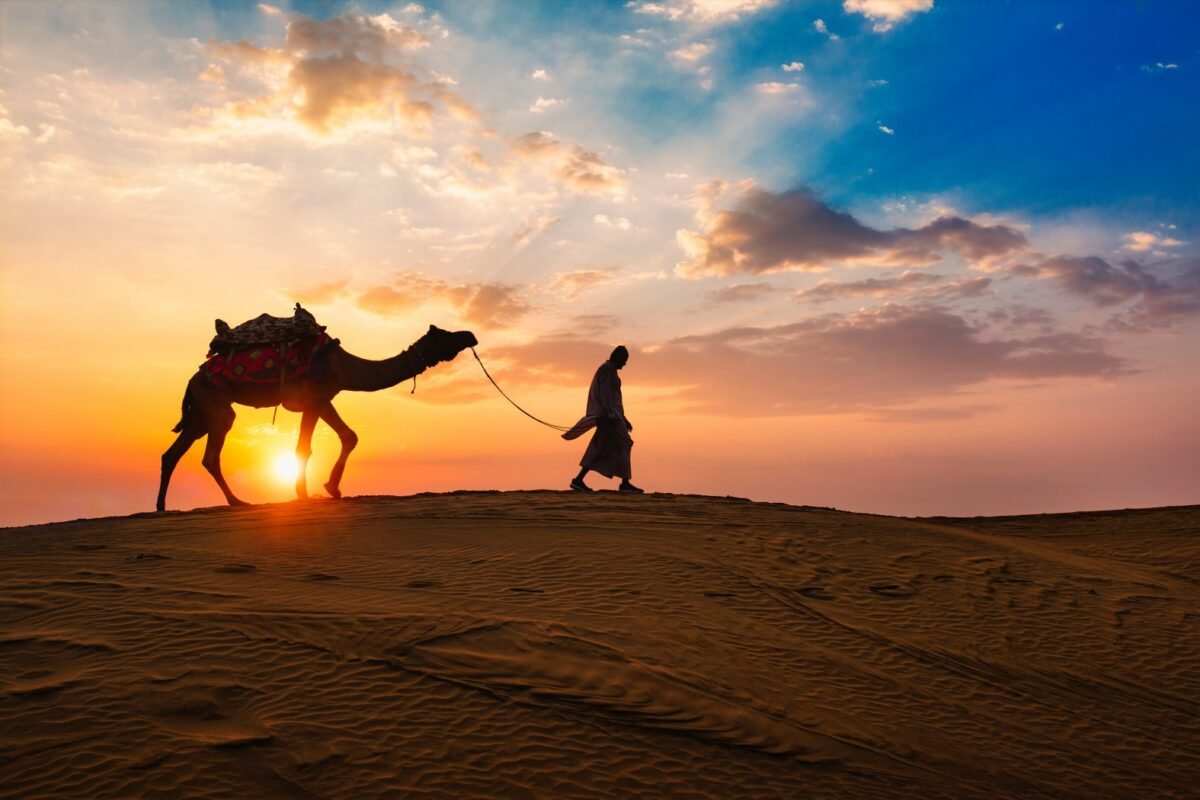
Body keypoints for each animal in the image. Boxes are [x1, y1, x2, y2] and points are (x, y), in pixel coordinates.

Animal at [156, 324, 478, 512]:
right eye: (445, 335)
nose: (470, 335)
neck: (345, 366)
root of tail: (192, 380)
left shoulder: (318, 402)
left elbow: (325, 442)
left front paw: (317, 490)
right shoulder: (317, 398)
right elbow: (327, 442)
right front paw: (321, 489)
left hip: (199, 413)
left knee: (172, 454)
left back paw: (160, 506)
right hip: (216, 402)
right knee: (211, 453)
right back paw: (237, 501)